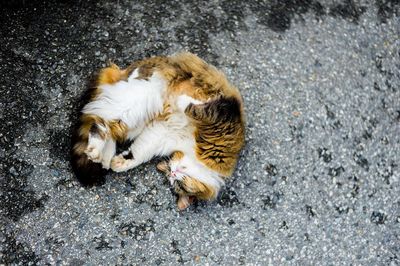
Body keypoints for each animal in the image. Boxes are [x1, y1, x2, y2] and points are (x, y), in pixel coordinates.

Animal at [72, 52, 247, 210]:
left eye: (176, 183)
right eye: (172, 174)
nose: (173, 172)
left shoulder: (162, 133)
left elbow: (137, 153)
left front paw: (120, 163)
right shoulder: (222, 114)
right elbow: (193, 107)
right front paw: (182, 101)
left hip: (135, 119)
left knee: (109, 126)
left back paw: (105, 158)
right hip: (142, 97)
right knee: (99, 119)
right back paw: (95, 151)